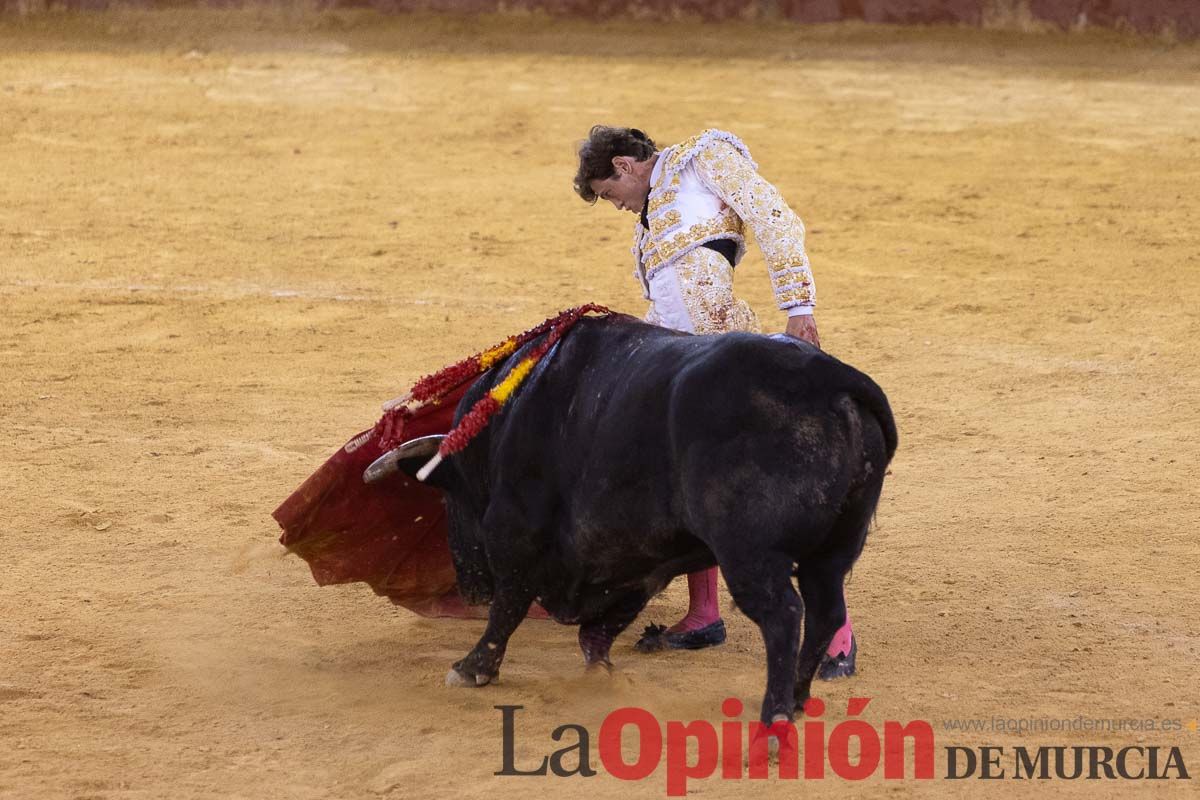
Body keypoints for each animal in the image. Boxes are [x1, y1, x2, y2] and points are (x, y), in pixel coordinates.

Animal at [369, 314, 897, 724]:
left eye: (449, 495)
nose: (469, 585)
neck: (506, 421)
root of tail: (830, 380)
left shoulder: (515, 533)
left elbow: (509, 607)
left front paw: (471, 668)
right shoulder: (639, 559)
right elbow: (600, 628)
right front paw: (602, 677)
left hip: (750, 553)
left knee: (785, 615)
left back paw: (775, 715)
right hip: (833, 551)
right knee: (825, 611)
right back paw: (800, 699)